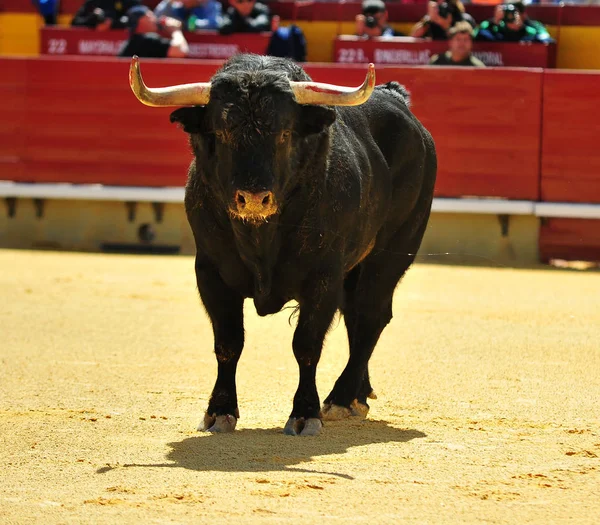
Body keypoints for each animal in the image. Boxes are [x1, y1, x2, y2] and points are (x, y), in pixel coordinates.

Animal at [130, 55, 436, 436]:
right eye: (221, 133)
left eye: (285, 134)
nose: (253, 198)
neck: (261, 239)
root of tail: (397, 100)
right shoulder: (211, 273)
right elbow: (228, 343)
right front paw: (219, 411)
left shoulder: (323, 277)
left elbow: (306, 345)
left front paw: (305, 413)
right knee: (356, 316)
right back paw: (358, 395)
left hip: (392, 252)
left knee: (370, 316)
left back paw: (340, 399)